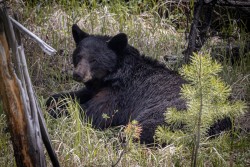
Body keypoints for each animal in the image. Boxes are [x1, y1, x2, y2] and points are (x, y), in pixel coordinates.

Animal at [47, 24, 230, 144]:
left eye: (94, 60)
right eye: (78, 55)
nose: (78, 74)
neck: (116, 74)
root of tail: (219, 121)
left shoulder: (122, 95)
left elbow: (95, 112)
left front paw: (58, 113)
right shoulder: (98, 87)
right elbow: (74, 95)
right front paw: (52, 101)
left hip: (164, 114)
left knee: (137, 131)